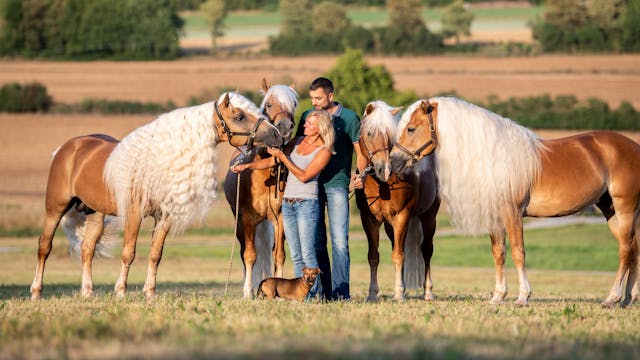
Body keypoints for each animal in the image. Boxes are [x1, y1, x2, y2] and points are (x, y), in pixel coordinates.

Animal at [29, 91, 280, 300]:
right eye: (239, 116)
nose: (276, 135)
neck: (159, 161)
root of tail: (68, 148)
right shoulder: (134, 214)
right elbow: (128, 253)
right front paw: (121, 291)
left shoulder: (164, 217)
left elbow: (155, 254)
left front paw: (150, 292)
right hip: (55, 208)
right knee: (44, 247)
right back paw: (36, 292)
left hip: (96, 214)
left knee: (87, 249)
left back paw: (88, 292)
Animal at [222, 79, 298, 298]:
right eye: (269, 105)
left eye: (294, 104)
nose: (284, 127)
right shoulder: (247, 218)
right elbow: (249, 255)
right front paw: (248, 292)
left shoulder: (280, 217)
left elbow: (279, 254)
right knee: (244, 252)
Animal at [356, 100, 440, 300]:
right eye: (369, 133)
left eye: (389, 135)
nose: (384, 170)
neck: (382, 185)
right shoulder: (369, 220)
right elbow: (374, 256)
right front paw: (372, 294)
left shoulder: (402, 216)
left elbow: (398, 256)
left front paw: (398, 294)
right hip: (390, 225)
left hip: (428, 217)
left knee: (426, 250)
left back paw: (427, 292)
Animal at [390, 95, 640, 306]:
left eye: (411, 128)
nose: (393, 162)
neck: (493, 156)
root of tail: (633, 147)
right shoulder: (495, 217)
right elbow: (499, 253)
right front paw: (498, 296)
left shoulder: (513, 213)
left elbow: (519, 252)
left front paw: (523, 297)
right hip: (610, 210)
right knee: (633, 248)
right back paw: (628, 298)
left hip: (625, 209)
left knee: (625, 251)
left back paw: (612, 298)